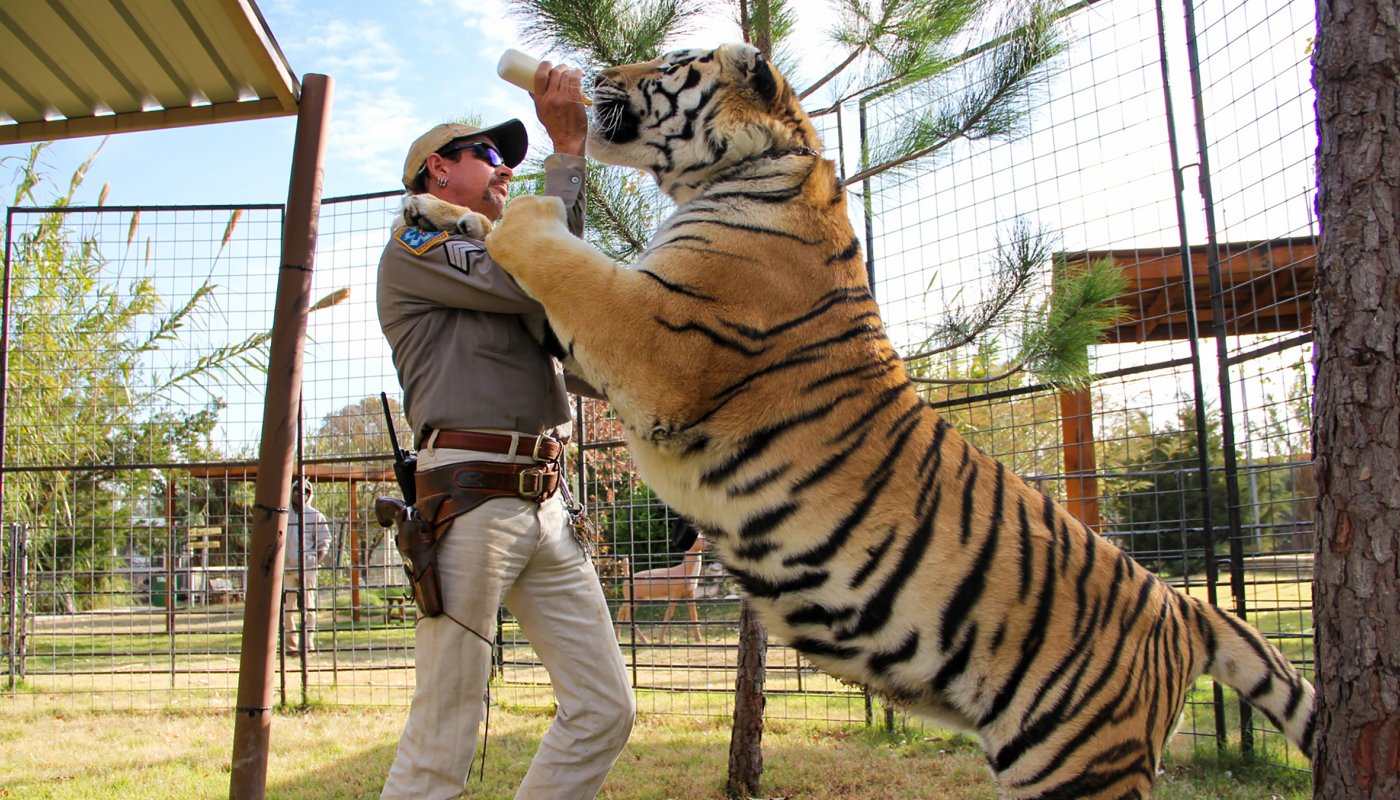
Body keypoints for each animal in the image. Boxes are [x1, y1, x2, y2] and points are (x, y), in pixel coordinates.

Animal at [408, 45, 1316, 800]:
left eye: (667, 63)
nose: (593, 73)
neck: (750, 169)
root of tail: (1180, 606)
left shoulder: (652, 338)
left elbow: (554, 251)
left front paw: (509, 209)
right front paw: (433, 208)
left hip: (1079, 763)